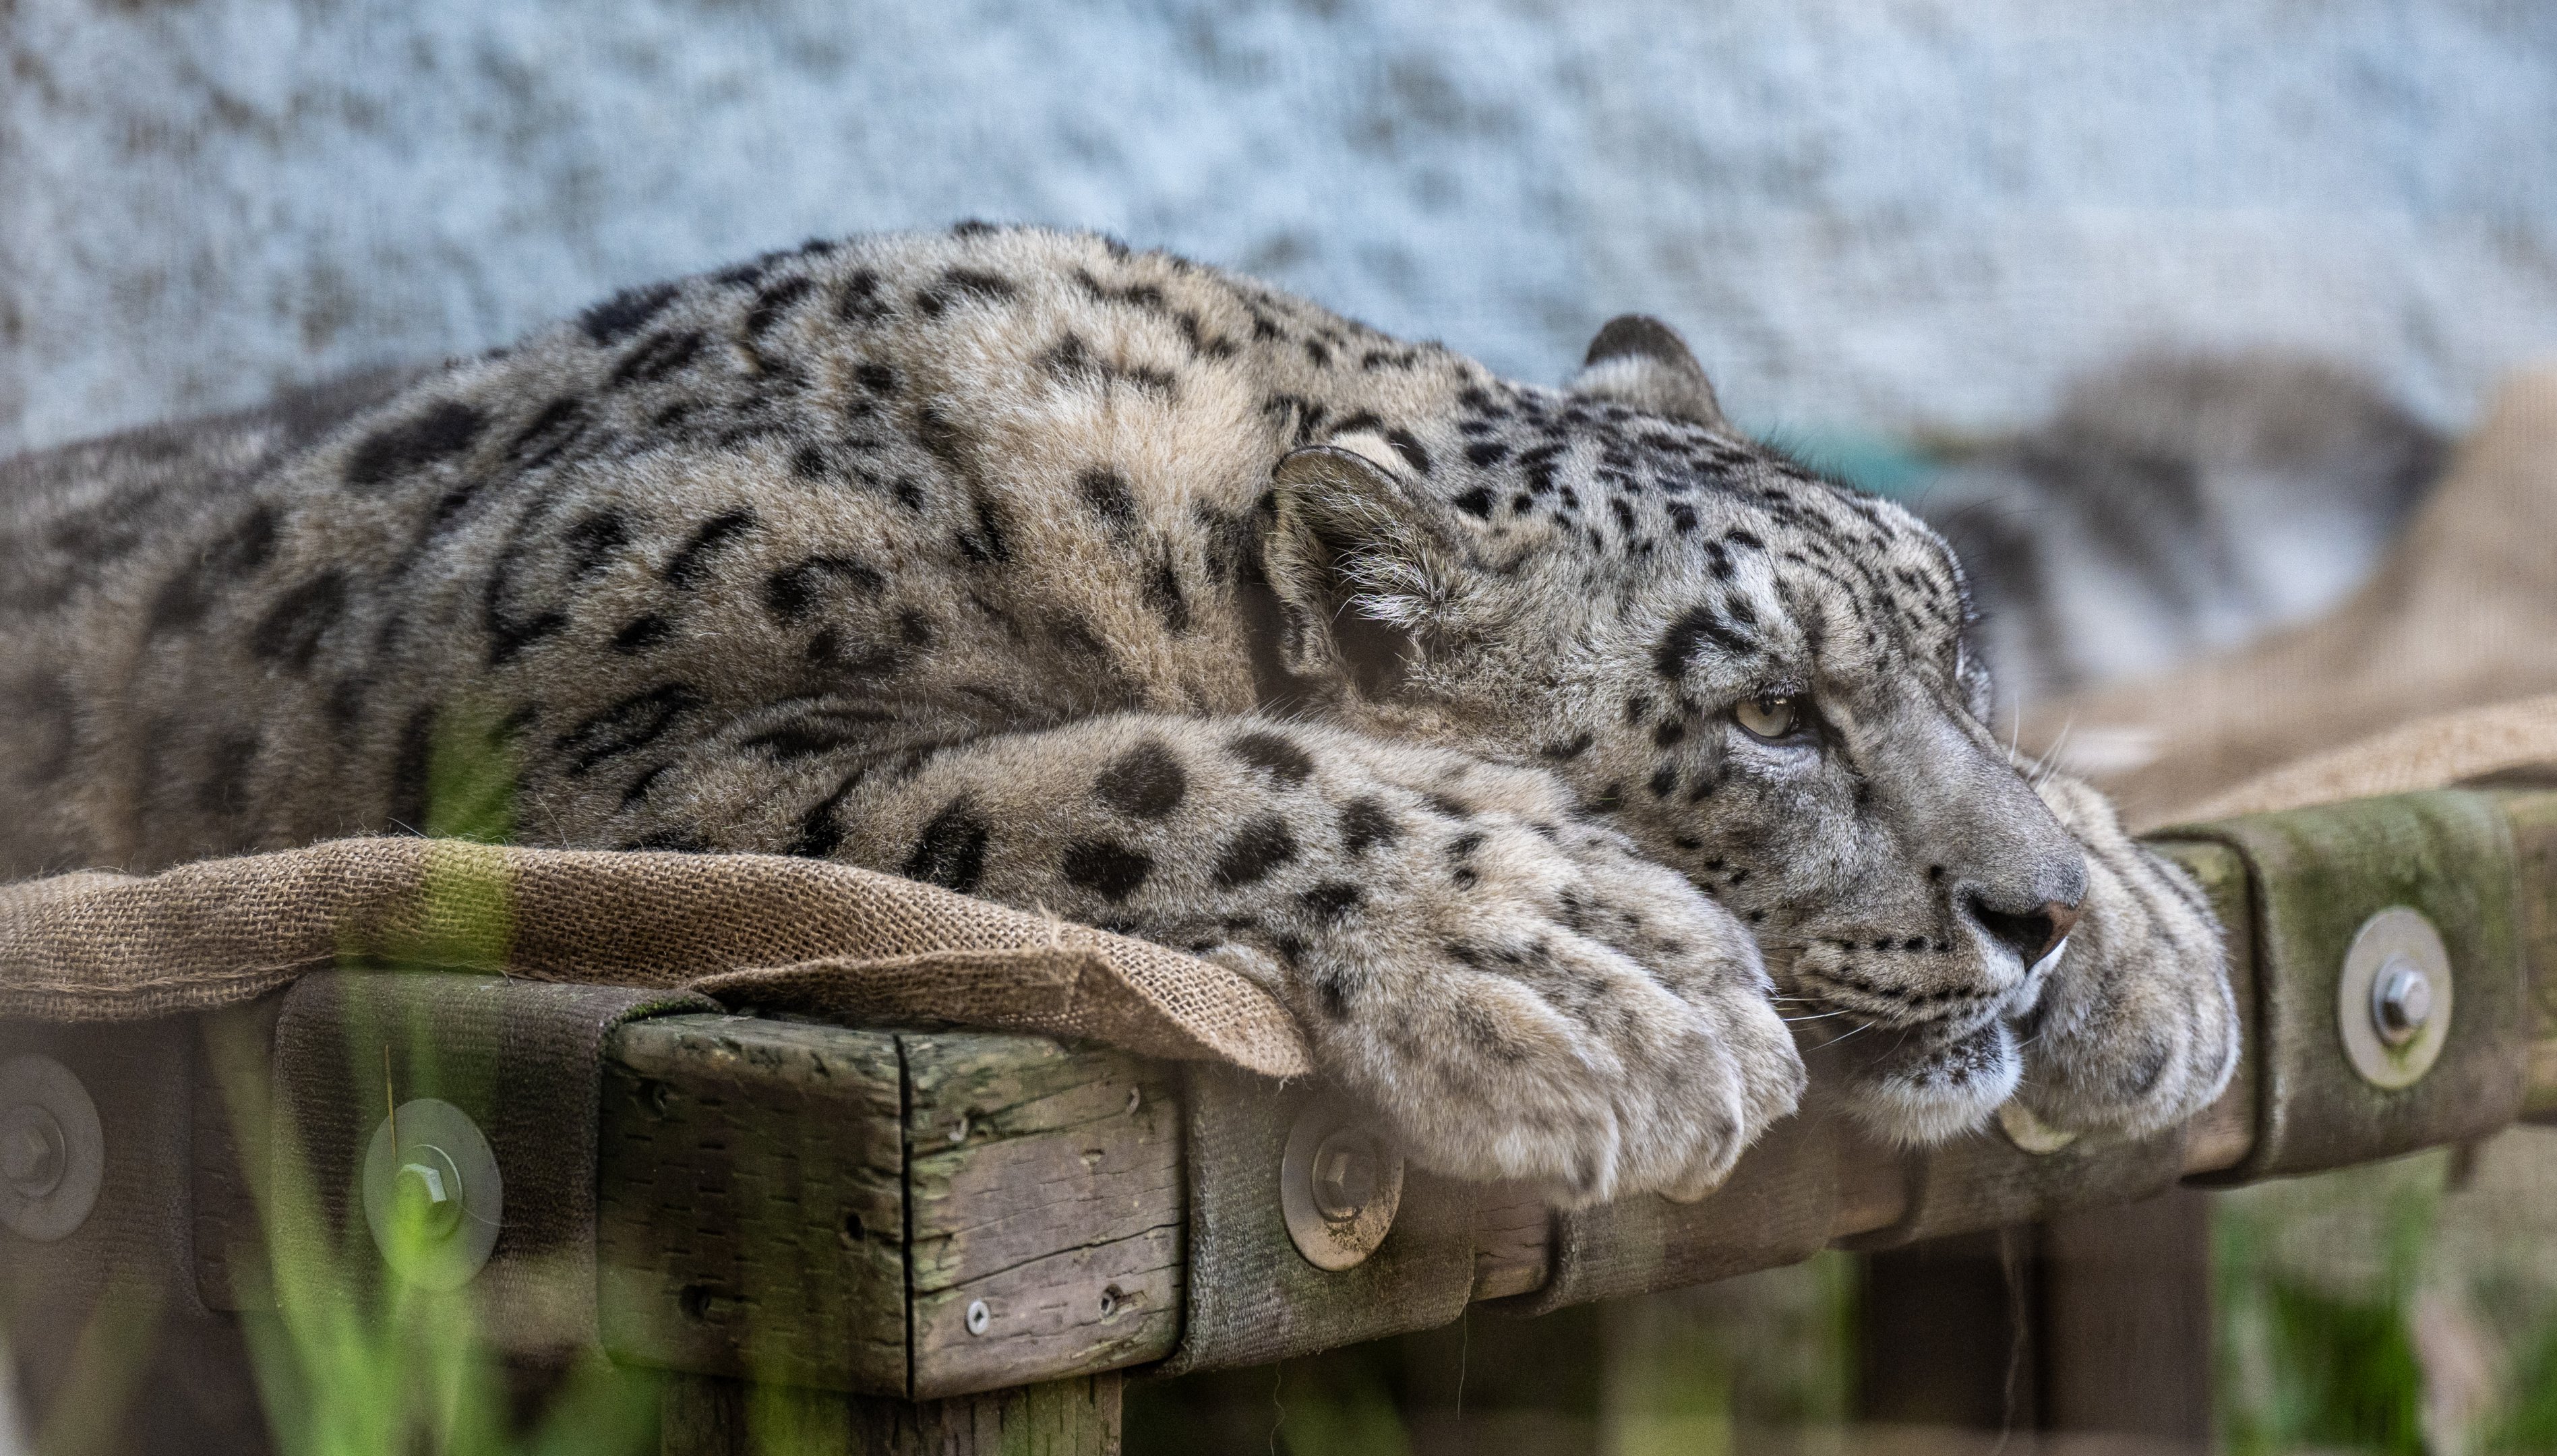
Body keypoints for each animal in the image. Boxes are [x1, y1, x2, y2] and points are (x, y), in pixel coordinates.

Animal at [0, 224, 2236, 1204]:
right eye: (1766, 710)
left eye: (1957, 652)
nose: (2033, 919)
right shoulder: (601, 756)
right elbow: (1115, 771)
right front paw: (1581, 969)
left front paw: (2148, 947)